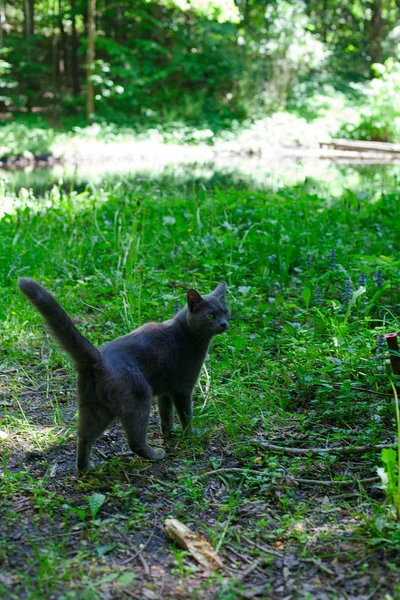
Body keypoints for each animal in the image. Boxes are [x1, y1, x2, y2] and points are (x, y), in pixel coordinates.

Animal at [18, 278, 230, 472]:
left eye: (226, 312)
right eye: (210, 315)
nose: (224, 324)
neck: (189, 334)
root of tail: (99, 358)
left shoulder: (165, 390)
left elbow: (166, 414)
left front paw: (169, 433)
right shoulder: (182, 388)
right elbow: (186, 415)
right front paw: (192, 435)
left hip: (93, 405)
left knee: (84, 436)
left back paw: (86, 468)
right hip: (139, 397)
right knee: (135, 440)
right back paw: (156, 454)